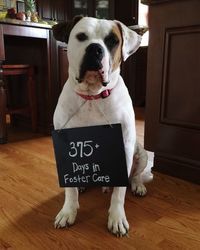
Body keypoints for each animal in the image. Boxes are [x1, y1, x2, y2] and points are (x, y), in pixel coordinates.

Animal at [52, 17, 148, 236]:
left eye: (112, 40)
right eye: (81, 37)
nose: (95, 49)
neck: (92, 96)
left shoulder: (125, 148)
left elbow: (119, 192)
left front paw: (117, 217)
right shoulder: (66, 149)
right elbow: (69, 189)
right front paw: (68, 211)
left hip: (142, 154)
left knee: (135, 175)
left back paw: (137, 186)